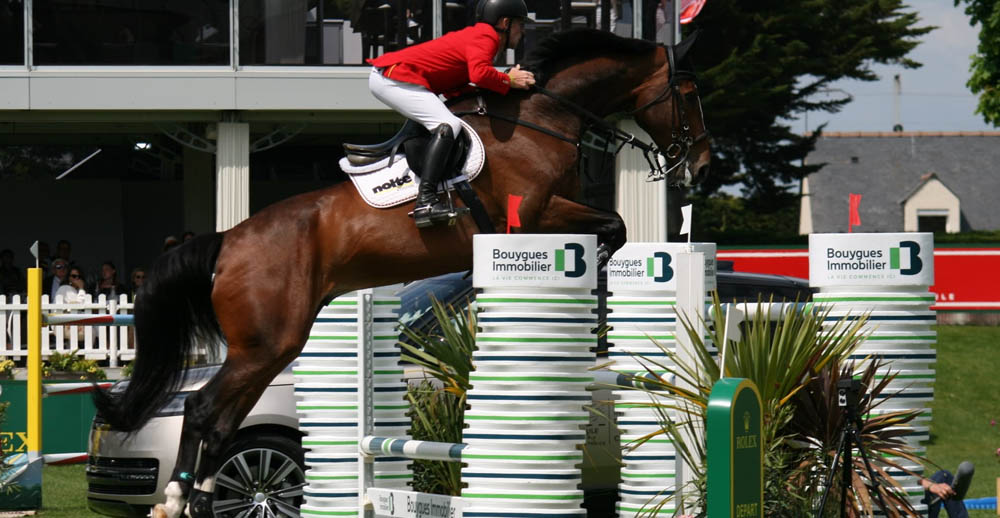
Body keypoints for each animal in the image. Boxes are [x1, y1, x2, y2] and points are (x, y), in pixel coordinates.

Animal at [90, 29, 708, 518]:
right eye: (689, 95)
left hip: (267, 349)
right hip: (267, 345)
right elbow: (613, 226)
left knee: (220, 419)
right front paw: (592, 267)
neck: (543, 121)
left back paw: (190, 499)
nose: (699, 165)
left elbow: (614, 225)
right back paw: (183, 499)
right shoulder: (532, 215)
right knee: (204, 411)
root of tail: (228, 242)